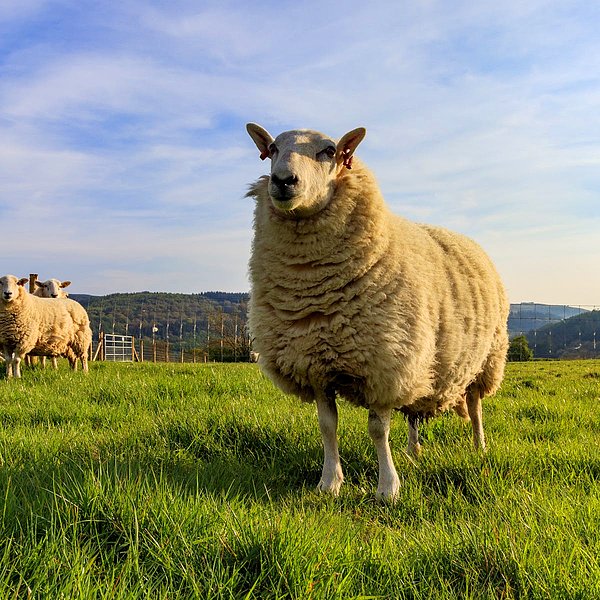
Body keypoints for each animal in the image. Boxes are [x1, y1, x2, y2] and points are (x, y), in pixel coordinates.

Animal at [246, 123, 508, 502]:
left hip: (484, 359)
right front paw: (329, 483)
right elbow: (327, 426)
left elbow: (377, 430)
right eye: (272, 150)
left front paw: (388, 487)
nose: (283, 180)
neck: (314, 288)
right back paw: (413, 452)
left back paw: (479, 447)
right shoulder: (316, 366)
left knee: (474, 407)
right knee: (414, 412)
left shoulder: (383, 366)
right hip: (421, 360)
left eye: (329, 151)